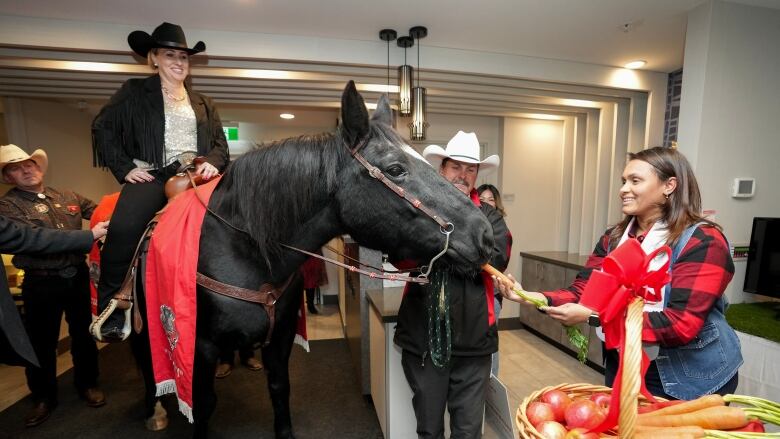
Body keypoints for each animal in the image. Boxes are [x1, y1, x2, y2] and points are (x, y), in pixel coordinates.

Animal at [127, 81, 494, 438]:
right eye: (395, 169)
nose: (485, 234)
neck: (245, 251)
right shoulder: (199, 348)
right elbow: (202, 406)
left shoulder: (281, 337)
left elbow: (279, 389)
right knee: (145, 361)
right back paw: (154, 411)